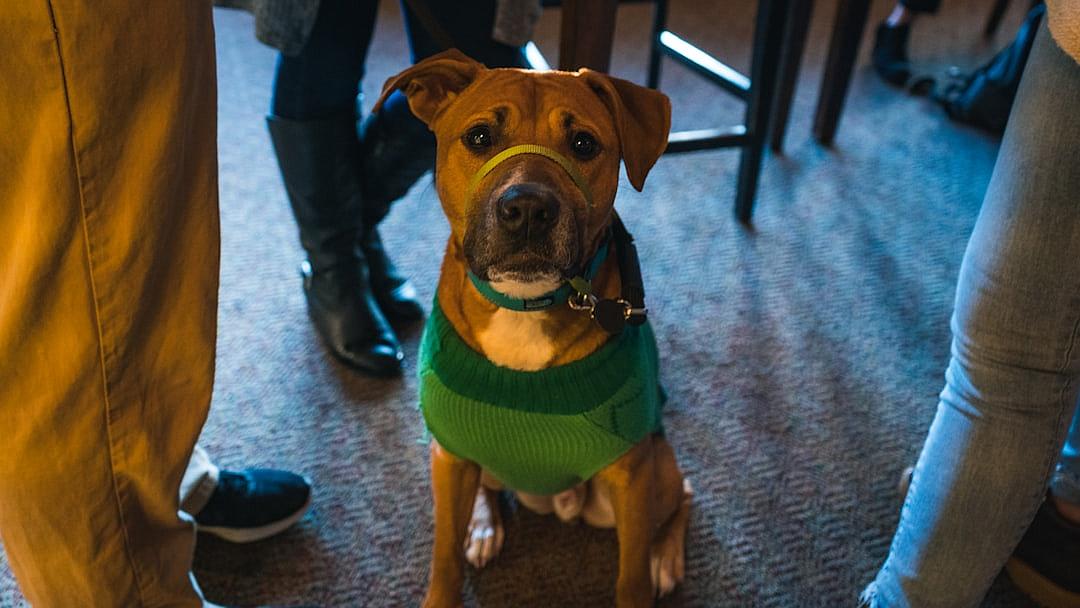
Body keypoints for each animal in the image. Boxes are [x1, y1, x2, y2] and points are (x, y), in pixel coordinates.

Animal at [378, 51, 691, 608]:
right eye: (480, 136)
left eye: (584, 144)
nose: (527, 208)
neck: (522, 308)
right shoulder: (450, 458)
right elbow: (444, 557)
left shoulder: (632, 477)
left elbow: (631, 577)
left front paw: (648, 567)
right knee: (484, 489)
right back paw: (483, 525)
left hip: (654, 472)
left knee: (685, 498)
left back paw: (666, 556)